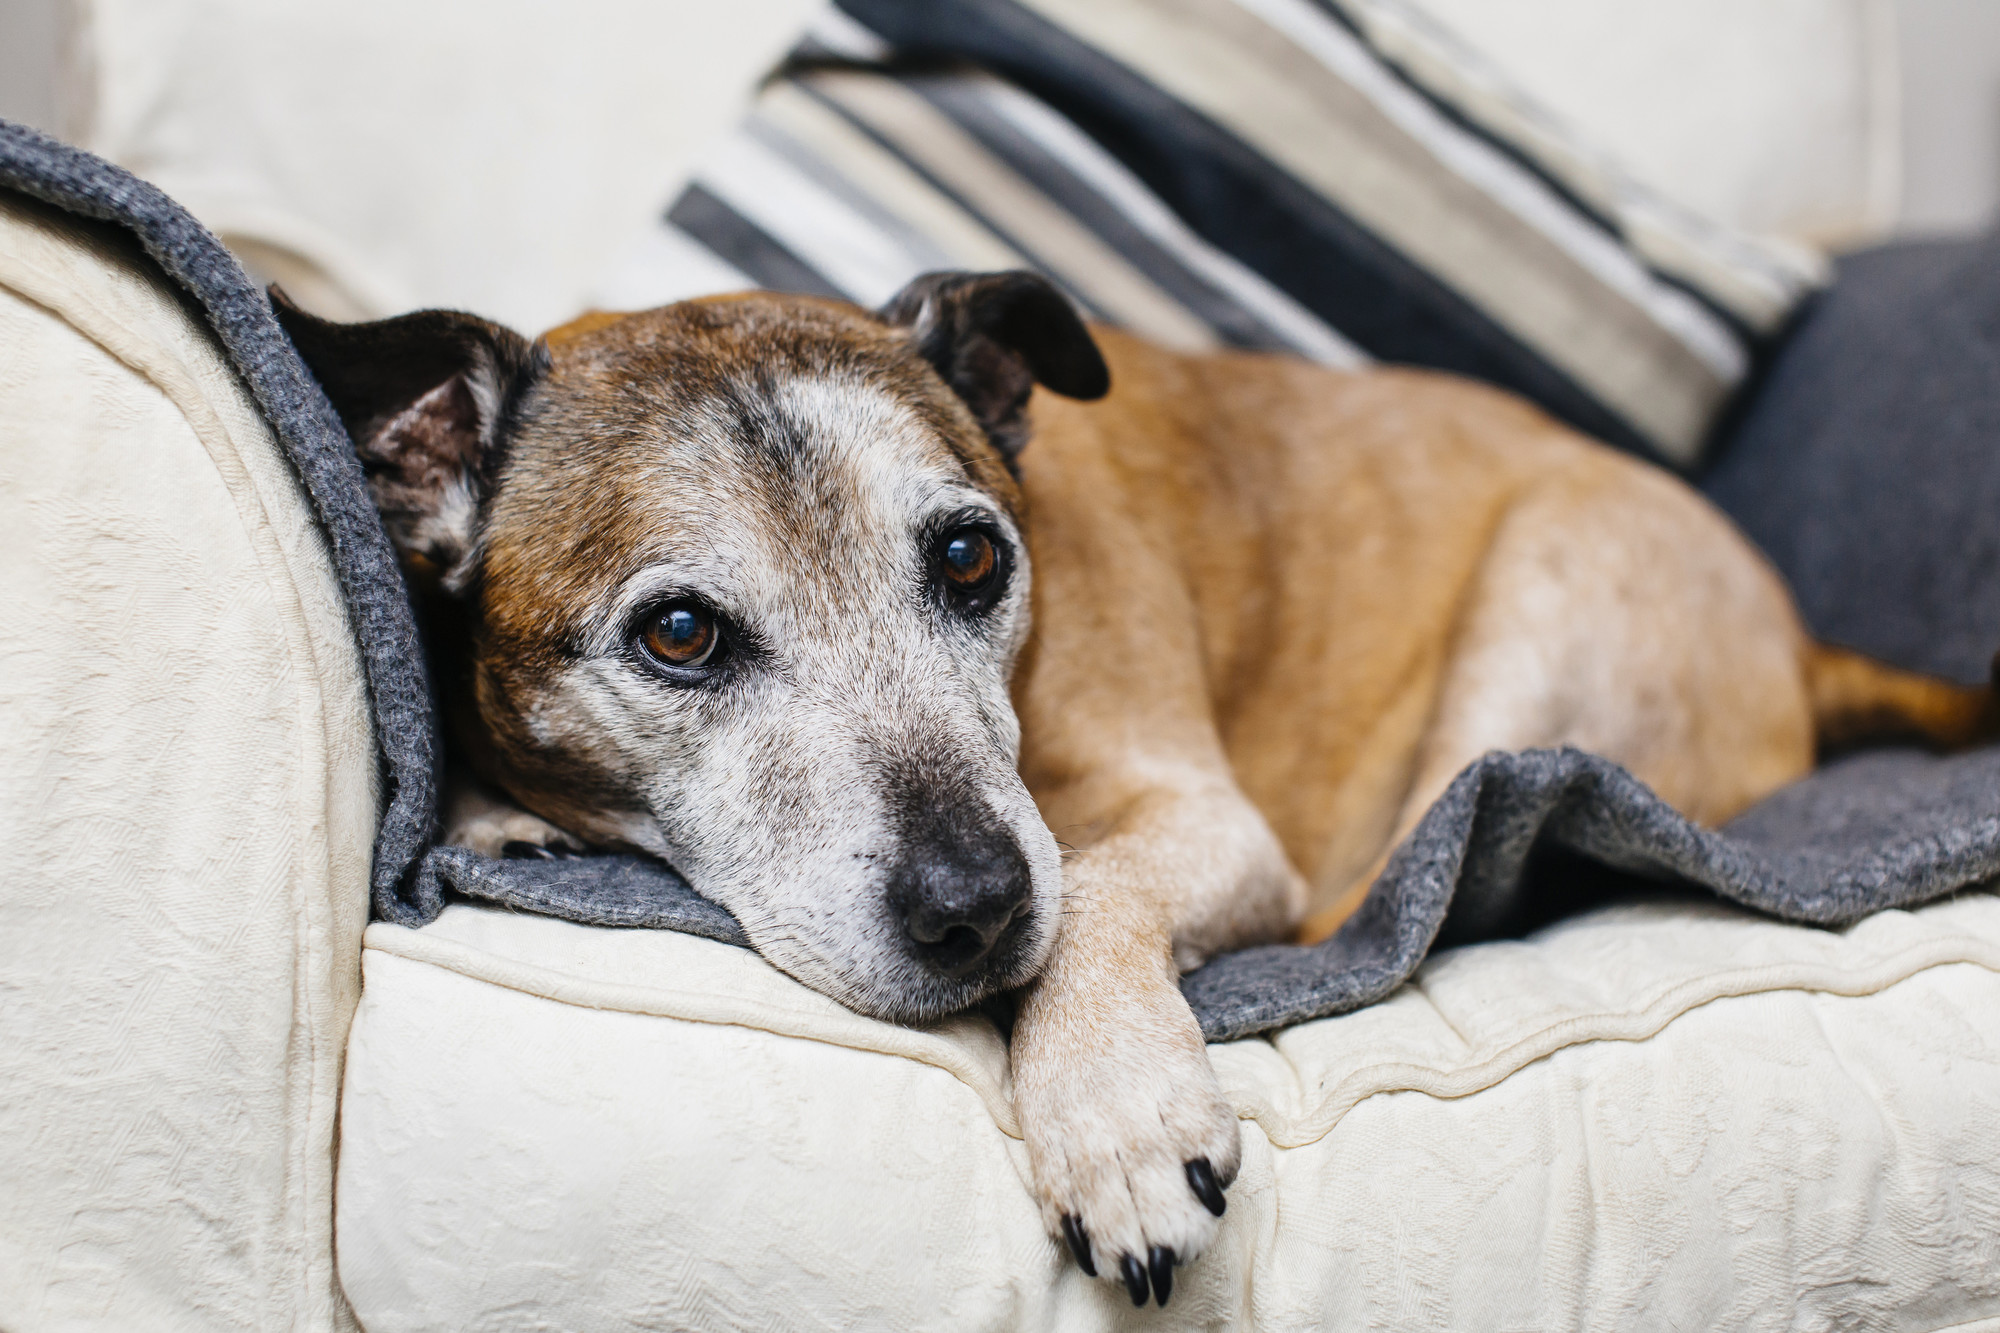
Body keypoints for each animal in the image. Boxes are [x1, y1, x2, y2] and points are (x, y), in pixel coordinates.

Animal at [274, 272, 1992, 1304]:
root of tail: (1805, 637)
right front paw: (498, 809)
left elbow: (1099, 878)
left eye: (971, 556)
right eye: (680, 633)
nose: (975, 909)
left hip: (1545, 595)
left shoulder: (1197, 824)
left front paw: (1112, 1113)